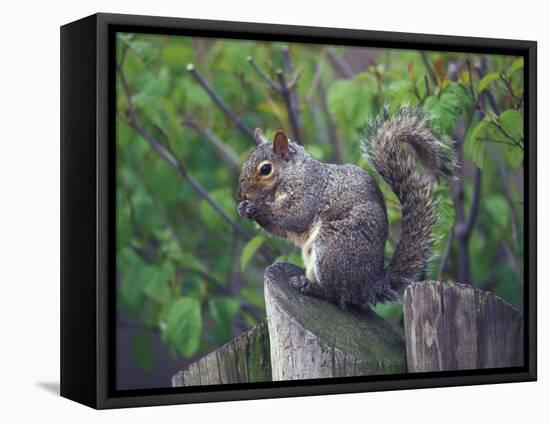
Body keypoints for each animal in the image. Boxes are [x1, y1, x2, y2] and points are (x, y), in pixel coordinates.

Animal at [237, 106, 458, 312]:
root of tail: (370, 285)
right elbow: (281, 229)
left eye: (265, 169)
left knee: (337, 296)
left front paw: (258, 207)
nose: (241, 195)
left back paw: (308, 286)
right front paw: (243, 208)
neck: (292, 174)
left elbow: (294, 216)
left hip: (332, 248)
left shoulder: (309, 193)